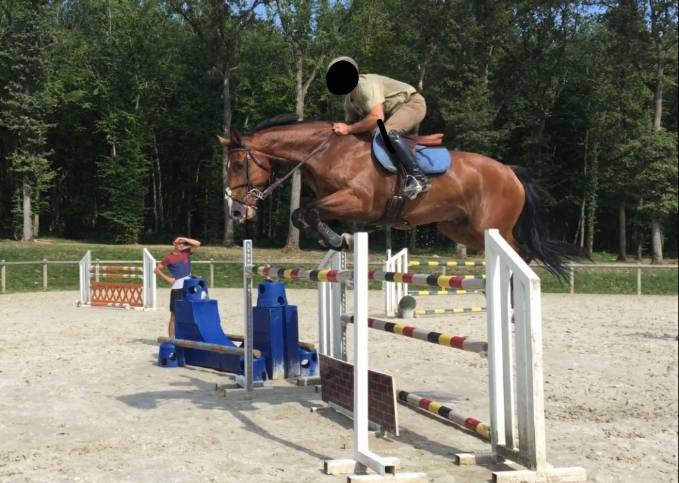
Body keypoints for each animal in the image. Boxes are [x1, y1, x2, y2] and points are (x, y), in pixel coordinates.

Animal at [220, 115, 580, 278]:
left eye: (238, 165)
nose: (236, 212)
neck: (326, 151)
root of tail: (510, 171)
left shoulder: (358, 202)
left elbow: (307, 211)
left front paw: (340, 240)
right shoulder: (338, 202)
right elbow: (303, 215)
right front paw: (336, 240)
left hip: (493, 228)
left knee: (521, 252)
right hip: (459, 228)